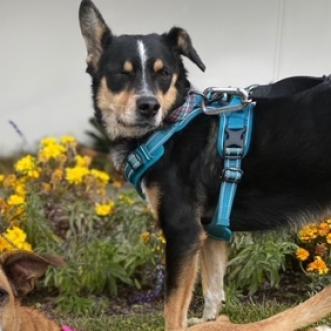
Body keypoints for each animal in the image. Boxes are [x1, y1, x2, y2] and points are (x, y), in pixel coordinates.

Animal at [79, 1, 331, 330]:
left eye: (164, 73)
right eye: (122, 73)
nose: (149, 106)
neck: (170, 126)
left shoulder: (183, 231)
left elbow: (173, 307)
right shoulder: (211, 232)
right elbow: (212, 290)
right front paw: (210, 321)